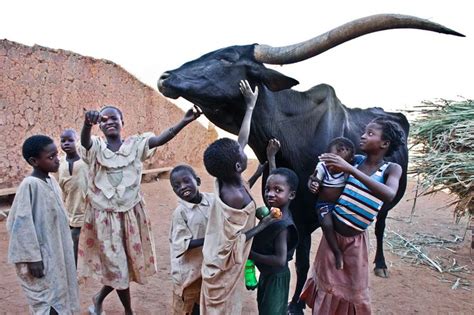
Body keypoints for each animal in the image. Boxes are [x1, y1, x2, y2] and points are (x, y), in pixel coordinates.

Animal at [157, 14, 462, 314]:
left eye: (226, 58)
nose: (164, 76)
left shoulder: (308, 216)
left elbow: (303, 262)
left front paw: (295, 304)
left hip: (390, 198)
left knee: (380, 225)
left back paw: (380, 264)